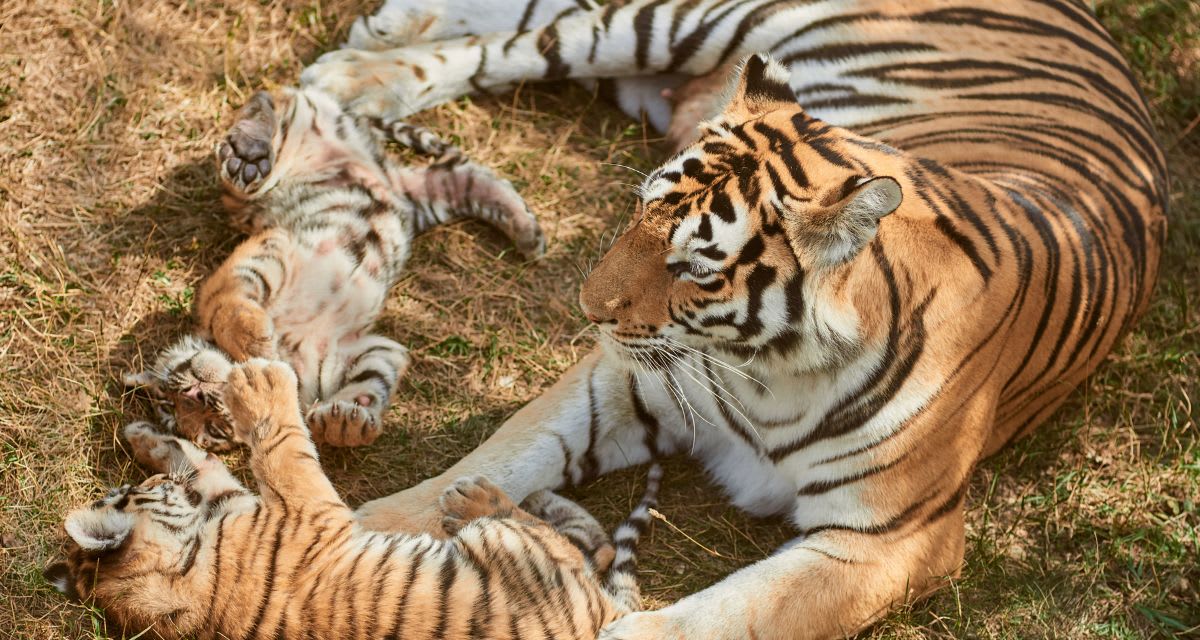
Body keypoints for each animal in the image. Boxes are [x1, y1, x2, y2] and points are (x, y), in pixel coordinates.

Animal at [47, 360, 662, 640]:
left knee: (597, 547)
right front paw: (261, 381)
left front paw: (146, 438)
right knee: (567, 544)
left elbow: (206, 464)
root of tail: (608, 617)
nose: (140, 484)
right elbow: (284, 447)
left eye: (124, 491)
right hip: (512, 554)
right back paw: (479, 496)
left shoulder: (238, 503)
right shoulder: (306, 512)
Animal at [123, 87, 545, 449]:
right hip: (430, 198)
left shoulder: (274, 247)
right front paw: (345, 421)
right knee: (468, 178)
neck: (288, 345)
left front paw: (255, 342)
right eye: (211, 430)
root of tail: (382, 170)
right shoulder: (367, 349)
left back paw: (247, 150)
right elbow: (373, 381)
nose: (196, 394)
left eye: (172, 391)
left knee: (270, 102)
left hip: (296, 136)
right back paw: (529, 233)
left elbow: (222, 305)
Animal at [291, 1, 1169, 638]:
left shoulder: (890, 538)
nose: (588, 308)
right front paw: (370, 531)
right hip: (695, 22)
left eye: (694, 266)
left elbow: (732, 613)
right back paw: (356, 75)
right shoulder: (623, 381)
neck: (772, 368)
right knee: (527, 41)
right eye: (638, 212)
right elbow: (504, 454)